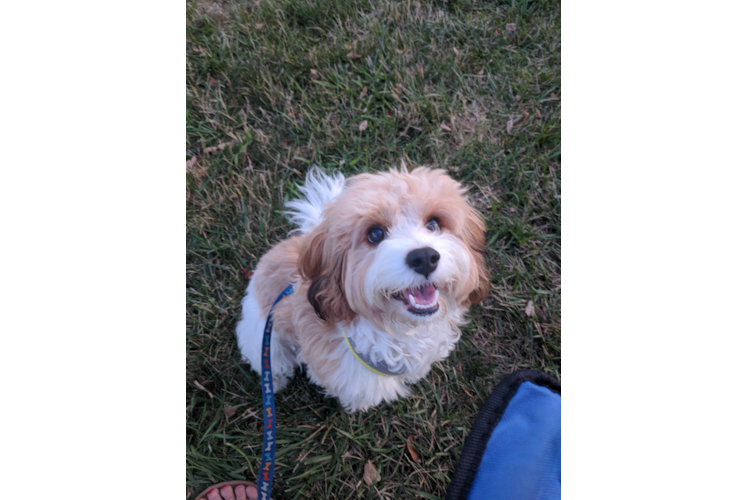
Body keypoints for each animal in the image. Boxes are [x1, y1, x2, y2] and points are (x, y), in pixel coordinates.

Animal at [237, 166, 488, 412]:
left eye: (434, 224)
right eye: (375, 234)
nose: (425, 257)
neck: (395, 328)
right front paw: (359, 405)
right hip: (263, 334)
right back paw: (275, 381)